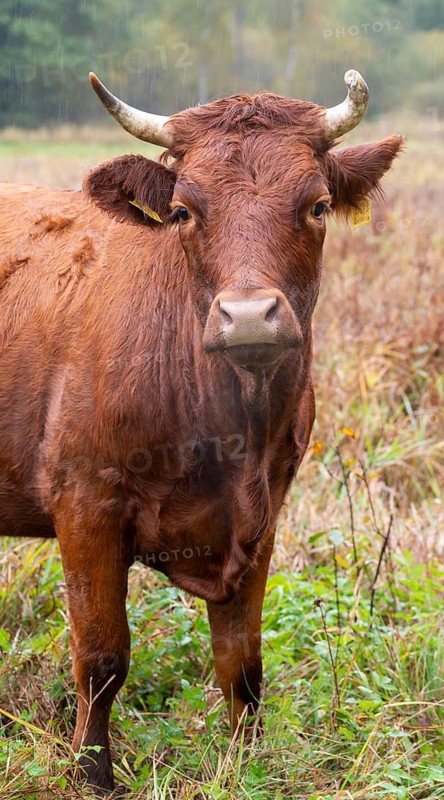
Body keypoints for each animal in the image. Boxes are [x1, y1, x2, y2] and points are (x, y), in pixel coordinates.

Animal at [0, 69, 402, 794]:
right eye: (185, 210)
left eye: (319, 205)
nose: (247, 316)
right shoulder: (85, 504)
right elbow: (101, 658)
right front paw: (93, 776)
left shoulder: (264, 513)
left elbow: (241, 661)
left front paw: (248, 761)